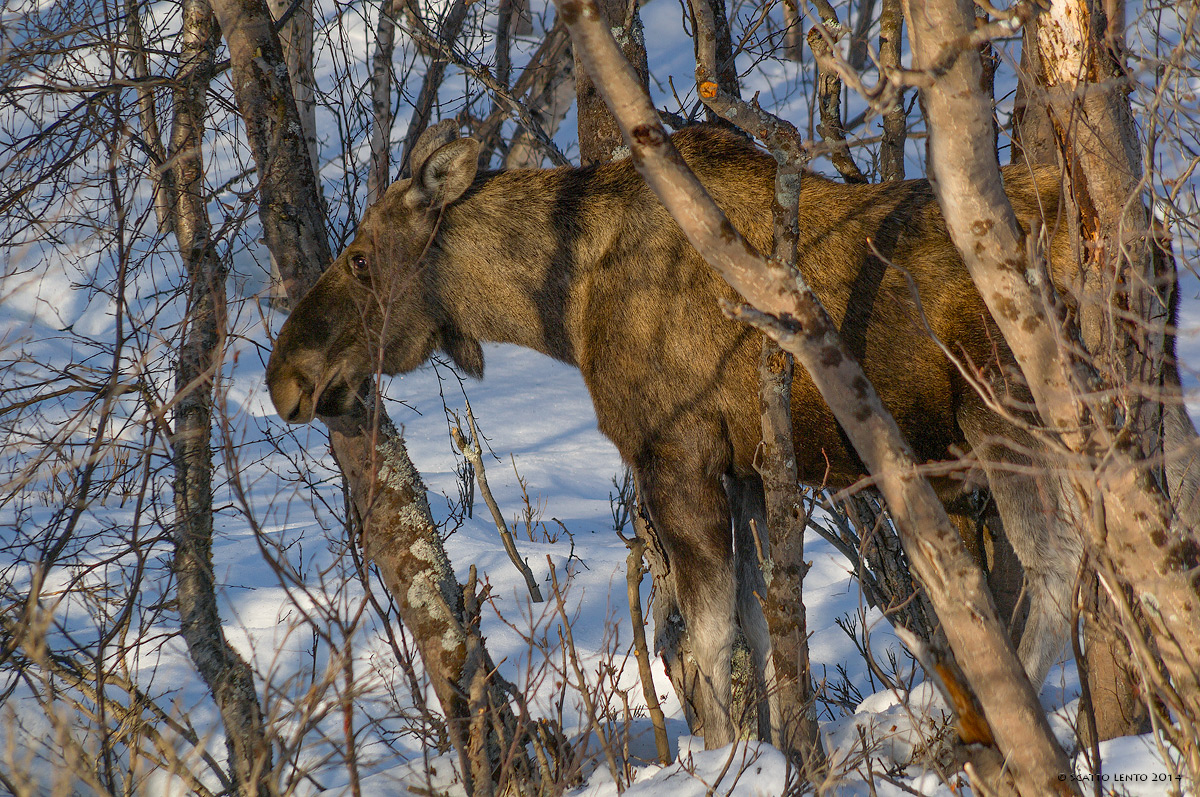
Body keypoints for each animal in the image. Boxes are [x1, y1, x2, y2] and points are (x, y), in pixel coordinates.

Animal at [265, 123, 1190, 748]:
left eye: (358, 256)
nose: (286, 376)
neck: (562, 302)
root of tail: (1153, 244)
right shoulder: (744, 465)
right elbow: (754, 629)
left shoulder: (674, 450)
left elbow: (702, 641)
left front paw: (720, 758)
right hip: (1147, 397)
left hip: (1009, 408)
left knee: (1057, 558)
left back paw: (999, 719)